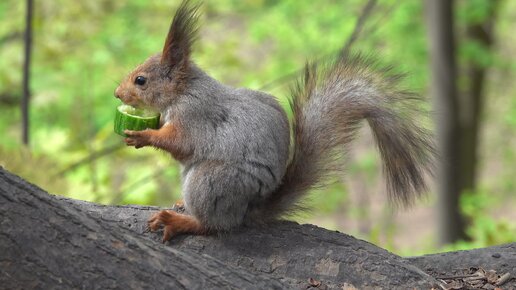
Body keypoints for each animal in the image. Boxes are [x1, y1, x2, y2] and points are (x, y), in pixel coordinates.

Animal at [115, 0, 434, 242]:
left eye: (141, 80)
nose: (117, 93)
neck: (182, 91)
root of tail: (250, 209)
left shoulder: (195, 115)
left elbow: (181, 143)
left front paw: (143, 135)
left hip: (212, 181)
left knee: (215, 224)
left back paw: (182, 221)